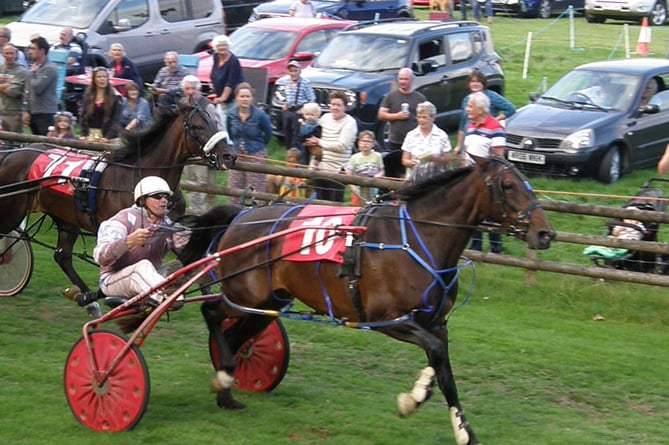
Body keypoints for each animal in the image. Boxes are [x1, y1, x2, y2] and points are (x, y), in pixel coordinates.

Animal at [0, 102, 235, 314]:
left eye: (215, 122)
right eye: (198, 126)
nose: (229, 155)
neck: (143, 179)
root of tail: (12, 153)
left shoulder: (172, 229)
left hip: (66, 217)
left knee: (62, 256)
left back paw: (88, 299)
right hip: (12, 212)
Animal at [177, 156, 552, 444]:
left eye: (528, 184)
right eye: (508, 186)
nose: (545, 233)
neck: (420, 239)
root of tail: (241, 215)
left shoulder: (437, 323)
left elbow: (443, 368)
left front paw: (462, 430)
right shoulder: (388, 318)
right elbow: (434, 354)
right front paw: (413, 399)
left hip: (266, 303)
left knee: (235, 337)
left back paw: (227, 390)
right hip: (243, 293)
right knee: (212, 313)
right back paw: (225, 378)